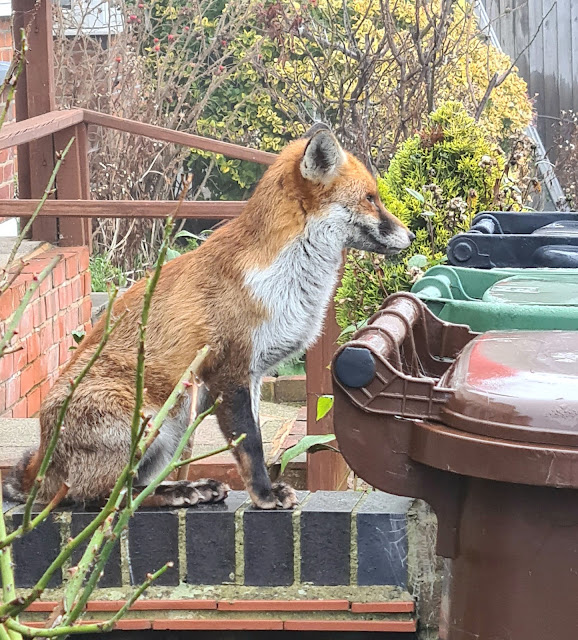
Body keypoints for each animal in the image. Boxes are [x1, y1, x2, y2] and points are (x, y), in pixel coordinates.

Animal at [4, 124, 414, 510]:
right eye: (370, 198)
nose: (411, 236)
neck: (279, 278)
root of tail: (41, 466)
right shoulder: (227, 372)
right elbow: (250, 446)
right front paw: (264, 495)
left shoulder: (253, 375)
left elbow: (253, 438)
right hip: (159, 413)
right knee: (100, 498)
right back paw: (176, 492)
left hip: (178, 415)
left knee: (130, 487)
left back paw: (190, 488)